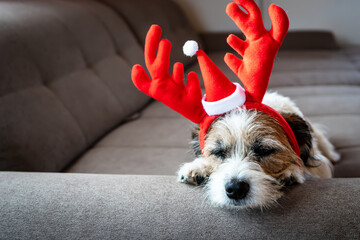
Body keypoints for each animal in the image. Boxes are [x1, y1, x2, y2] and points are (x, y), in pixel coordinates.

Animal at [178, 92, 340, 210]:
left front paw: (290, 172)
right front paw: (198, 167)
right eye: (218, 152)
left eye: (264, 150)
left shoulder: (321, 167)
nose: (235, 189)